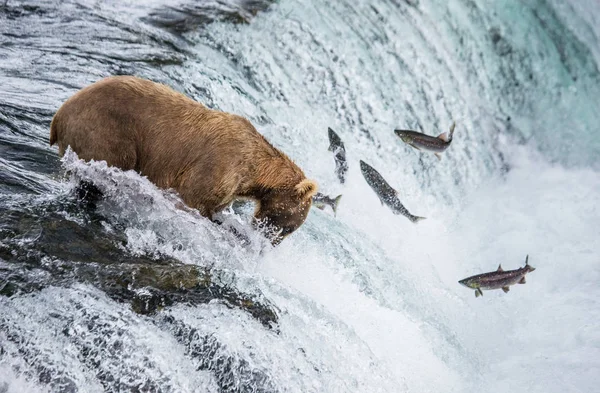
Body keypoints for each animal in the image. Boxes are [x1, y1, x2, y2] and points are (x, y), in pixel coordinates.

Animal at [49, 75, 318, 243]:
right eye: (289, 226)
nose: (267, 244)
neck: (254, 174)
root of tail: (58, 115)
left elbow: (213, 209)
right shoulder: (218, 165)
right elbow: (191, 200)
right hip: (106, 134)